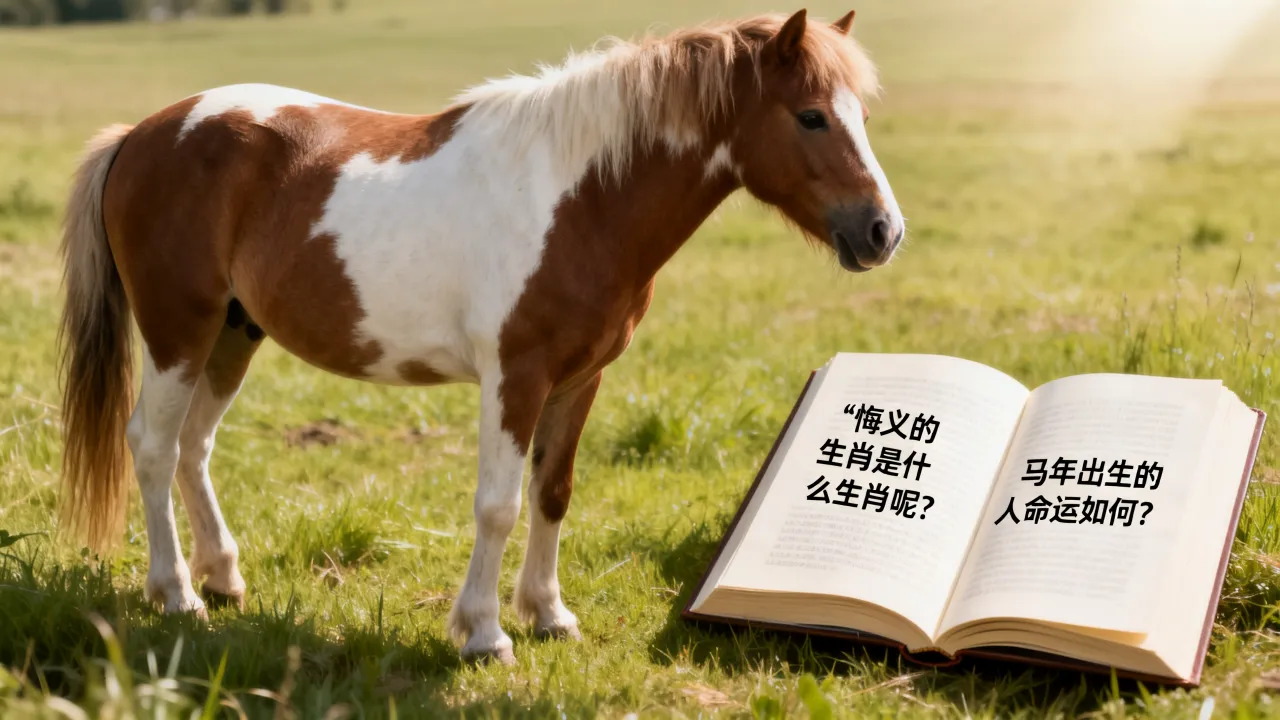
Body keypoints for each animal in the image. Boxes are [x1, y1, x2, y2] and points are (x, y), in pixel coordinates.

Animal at [57, 8, 903, 664]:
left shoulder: (580, 377)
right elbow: (498, 504)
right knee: (153, 446)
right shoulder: (515, 377)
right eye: (810, 115)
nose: (883, 231)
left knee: (194, 447)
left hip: (234, 334)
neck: (583, 198)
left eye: (862, 116)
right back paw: (176, 595)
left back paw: (223, 577)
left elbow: (553, 492)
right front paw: (485, 634)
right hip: (178, 330)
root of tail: (142, 134)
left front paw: (549, 616)